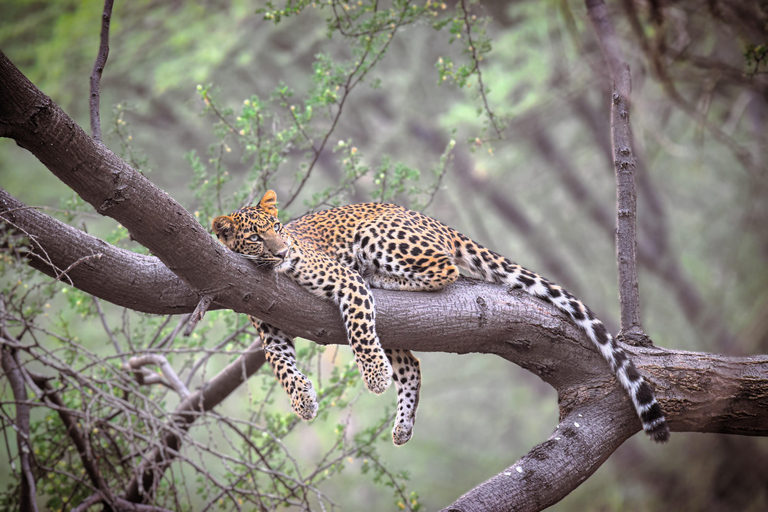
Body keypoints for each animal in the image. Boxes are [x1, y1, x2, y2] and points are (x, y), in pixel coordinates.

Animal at [213, 190, 668, 446]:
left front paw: (374, 377)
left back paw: (383, 279)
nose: (284, 250)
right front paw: (304, 401)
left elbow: (359, 330)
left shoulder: (344, 282)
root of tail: (437, 221)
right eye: (255, 236)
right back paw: (402, 426)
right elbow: (281, 366)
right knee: (412, 364)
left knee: (445, 269)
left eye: (277, 226)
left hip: (380, 235)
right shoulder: (268, 323)